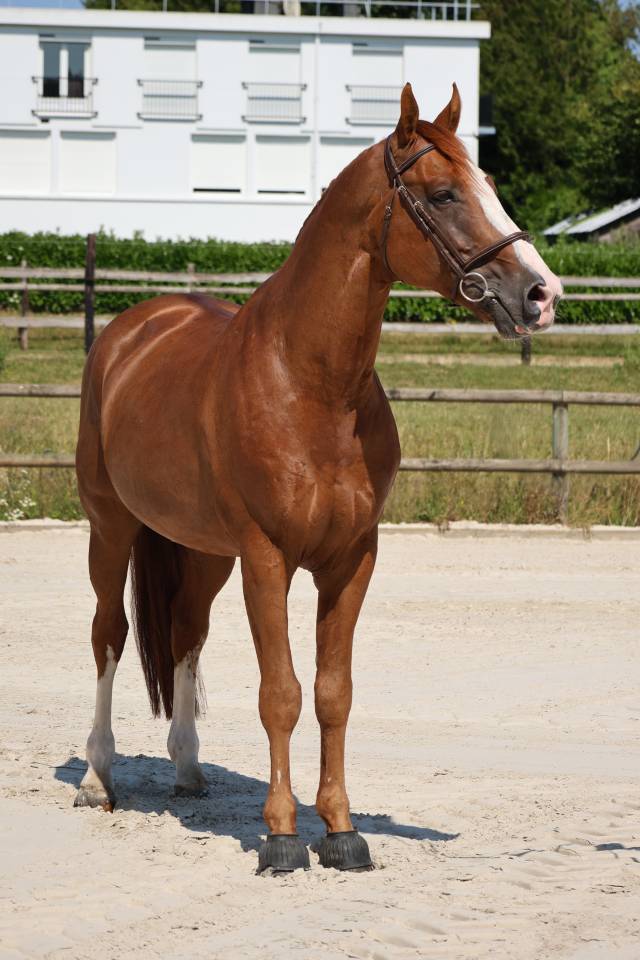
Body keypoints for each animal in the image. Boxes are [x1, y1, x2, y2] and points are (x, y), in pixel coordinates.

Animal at [74, 83, 562, 873]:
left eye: (490, 184)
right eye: (445, 192)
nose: (542, 295)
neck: (311, 384)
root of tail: (131, 328)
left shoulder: (351, 559)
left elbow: (334, 692)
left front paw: (340, 829)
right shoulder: (268, 558)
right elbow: (281, 692)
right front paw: (280, 837)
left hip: (204, 552)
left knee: (184, 632)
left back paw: (188, 768)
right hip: (110, 527)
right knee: (108, 634)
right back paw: (96, 776)